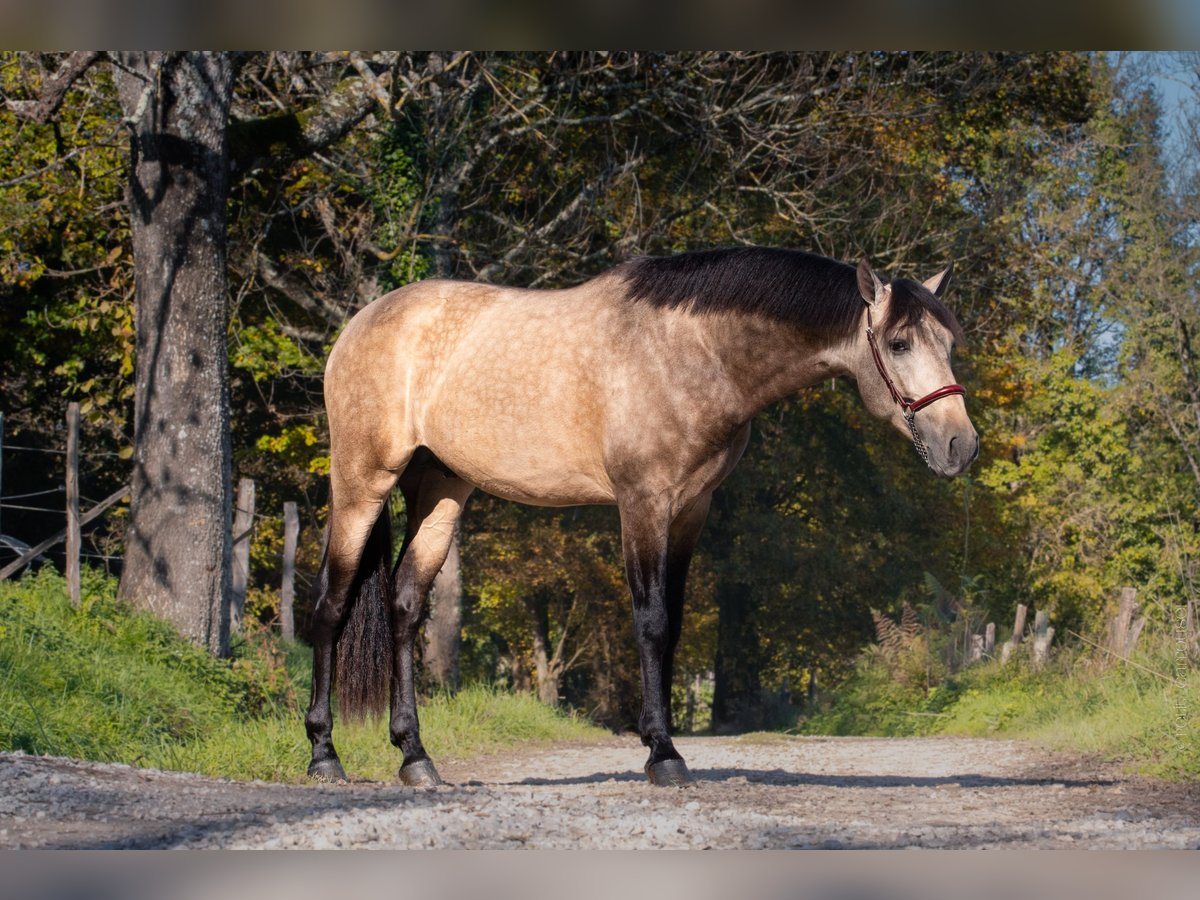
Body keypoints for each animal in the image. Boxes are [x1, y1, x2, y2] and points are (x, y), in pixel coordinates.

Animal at [300, 247, 974, 787]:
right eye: (898, 344)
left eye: (949, 345)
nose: (961, 447)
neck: (692, 352)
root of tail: (361, 324)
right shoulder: (643, 502)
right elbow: (649, 622)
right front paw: (664, 755)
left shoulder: (692, 510)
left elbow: (670, 626)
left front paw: (661, 741)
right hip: (361, 482)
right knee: (330, 607)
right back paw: (324, 755)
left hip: (441, 489)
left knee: (404, 605)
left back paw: (415, 757)